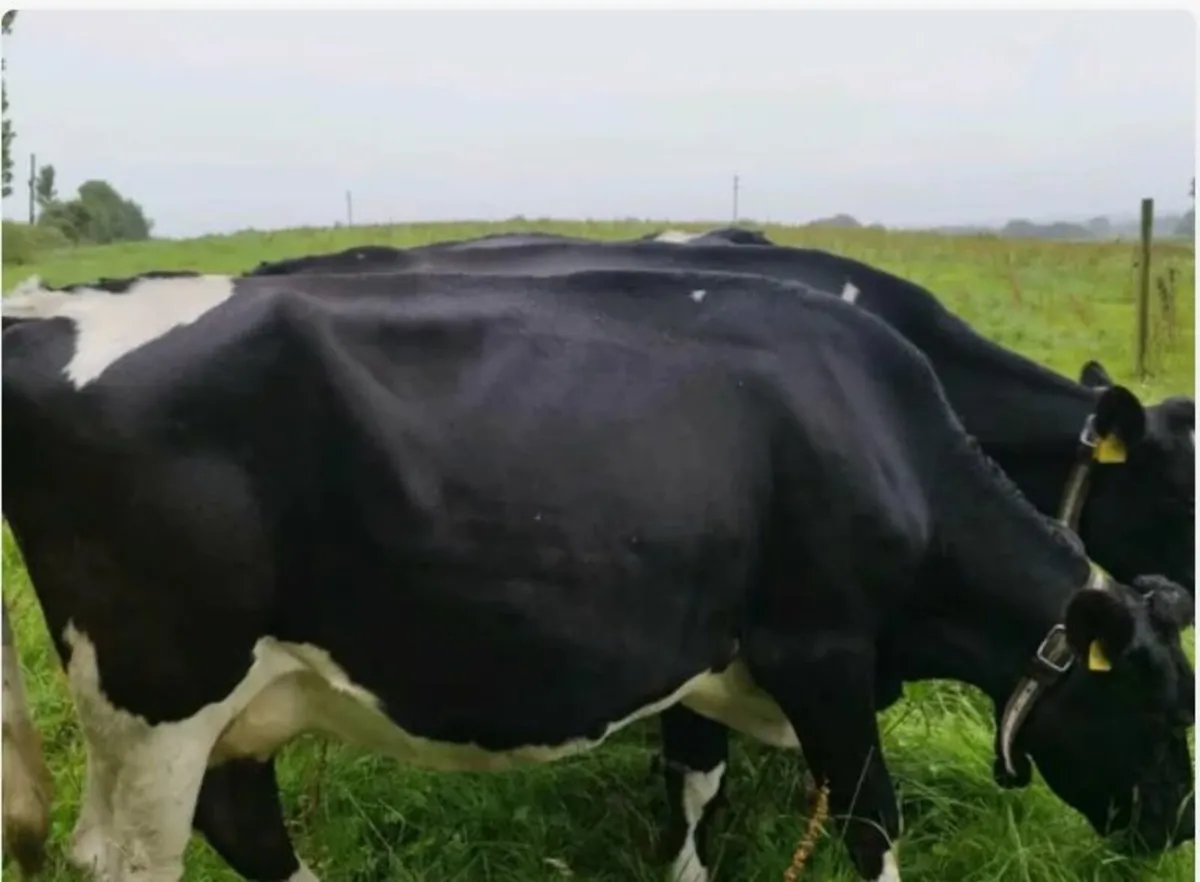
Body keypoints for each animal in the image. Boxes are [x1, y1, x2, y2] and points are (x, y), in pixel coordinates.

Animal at [1, 267, 1194, 882]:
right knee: (128, 858)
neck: (878, 431)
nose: (1175, 827)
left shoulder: (709, 656)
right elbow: (872, 822)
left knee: (247, 828)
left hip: (239, 700)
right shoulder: (821, 649)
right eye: (1149, 703)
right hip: (159, 695)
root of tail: (43, 309)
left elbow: (699, 785)